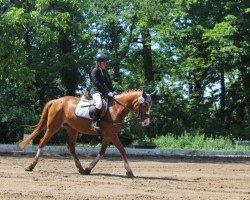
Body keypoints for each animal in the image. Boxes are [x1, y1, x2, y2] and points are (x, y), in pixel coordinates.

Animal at [18, 90, 153, 177]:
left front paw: (88, 168)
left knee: (71, 147)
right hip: (53, 127)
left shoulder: (108, 135)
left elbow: (102, 152)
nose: (146, 122)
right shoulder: (112, 135)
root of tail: (56, 101)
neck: (116, 109)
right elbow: (122, 150)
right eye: (144, 104)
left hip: (72, 129)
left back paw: (81, 169)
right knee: (42, 142)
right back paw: (31, 166)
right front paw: (129, 172)